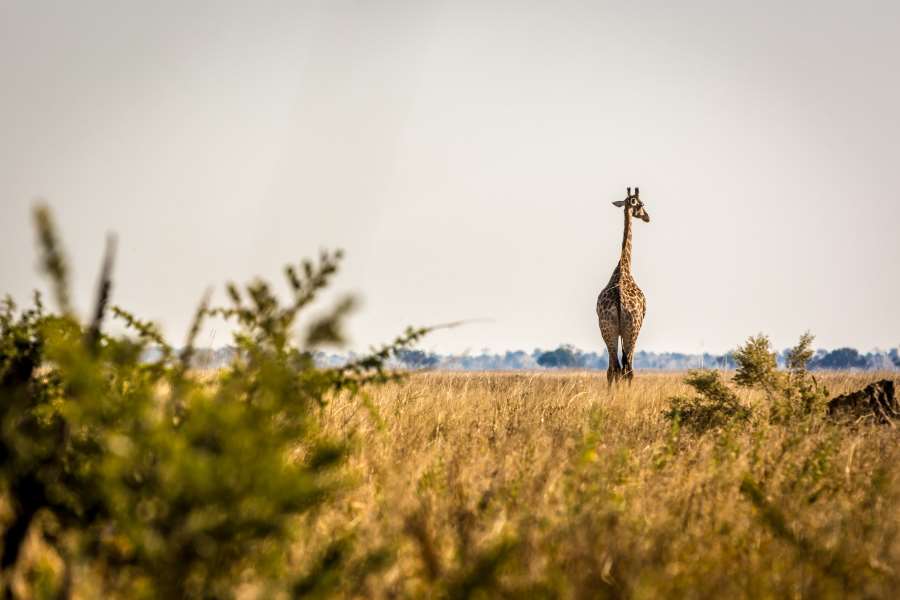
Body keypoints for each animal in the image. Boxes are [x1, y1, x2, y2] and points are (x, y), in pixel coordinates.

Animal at [596, 186, 652, 384]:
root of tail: (620, 301)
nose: (647, 217)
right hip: (632, 329)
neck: (623, 269)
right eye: (641, 204)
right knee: (626, 368)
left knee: (613, 368)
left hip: (607, 328)